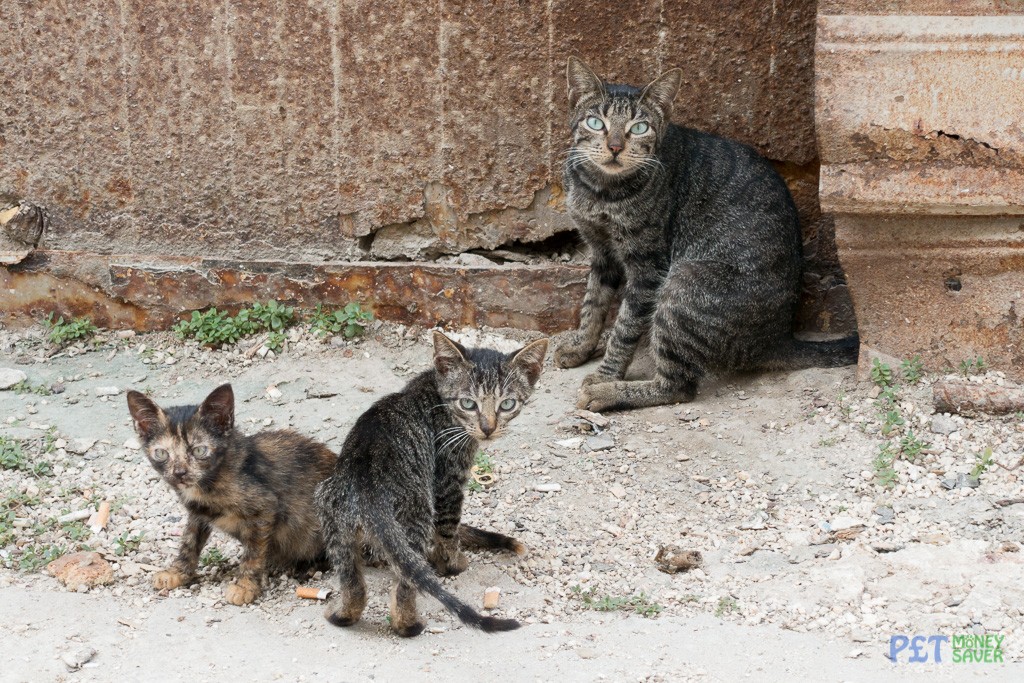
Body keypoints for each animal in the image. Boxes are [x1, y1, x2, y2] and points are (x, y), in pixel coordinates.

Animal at [122, 385, 333, 602]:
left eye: (199, 451)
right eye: (162, 453)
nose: (179, 473)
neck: (210, 481)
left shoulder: (264, 507)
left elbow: (253, 553)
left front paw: (245, 586)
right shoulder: (197, 513)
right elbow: (189, 542)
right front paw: (177, 572)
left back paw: (307, 567)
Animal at [315, 333, 548, 638]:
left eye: (507, 404)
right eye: (468, 403)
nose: (488, 428)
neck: (436, 390)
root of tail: (367, 491)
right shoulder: (448, 482)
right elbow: (449, 531)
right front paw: (453, 563)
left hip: (329, 515)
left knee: (353, 584)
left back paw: (342, 614)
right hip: (416, 515)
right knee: (405, 586)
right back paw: (409, 624)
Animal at [552, 57, 856, 411]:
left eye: (639, 128)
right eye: (595, 123)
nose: (614, 147)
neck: (599, 191)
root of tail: (779, 339)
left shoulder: (647, 267)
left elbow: (623, 328)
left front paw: (605, 375)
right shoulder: (602, 252)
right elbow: (592, 306)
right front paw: (580, 347)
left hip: (682, 284)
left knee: (677, 387)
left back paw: (607, 394)